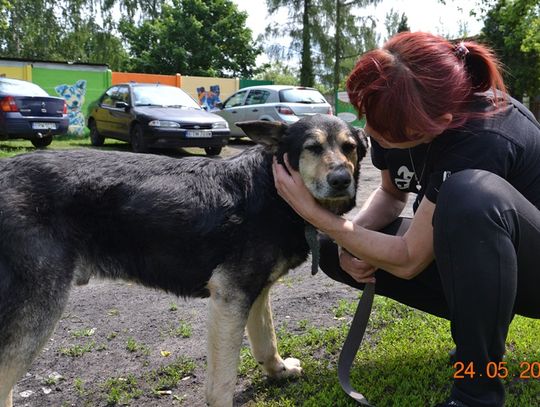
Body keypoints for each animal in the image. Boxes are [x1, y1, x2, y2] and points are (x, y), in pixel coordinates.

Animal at [0, 113, 368, 406]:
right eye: (312, 147)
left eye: (350, 147)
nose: (341, 180)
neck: (272, 190)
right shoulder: (230, 297)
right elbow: (222, 382)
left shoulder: (255, 291)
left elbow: (266, 339)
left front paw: (278, 371)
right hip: (38, 309)